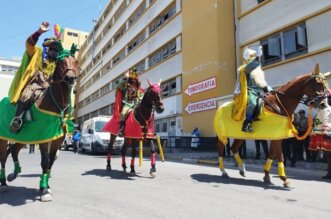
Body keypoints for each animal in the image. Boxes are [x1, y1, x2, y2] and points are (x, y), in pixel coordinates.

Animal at [0, 46, 79, 202]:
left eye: (75, 61)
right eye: (62, 62)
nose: (70, 78)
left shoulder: (57, 140)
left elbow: (50, 163)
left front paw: (47, 186)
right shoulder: (43, 137)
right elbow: (45, 161)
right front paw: (43, 189)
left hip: (24, 137)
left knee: (14, 151)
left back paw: (14, 174)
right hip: (3, 139)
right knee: (3, 157)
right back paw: (4, 183)